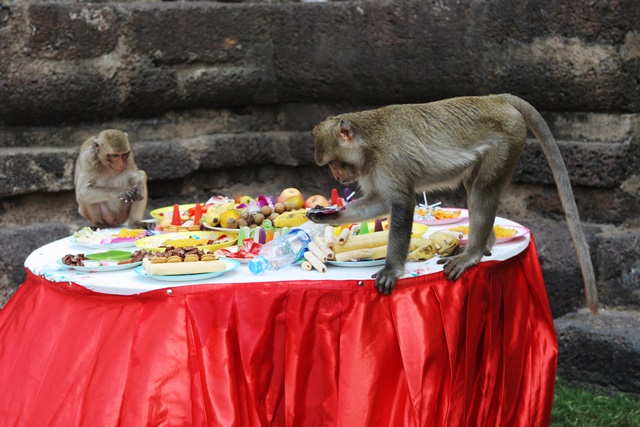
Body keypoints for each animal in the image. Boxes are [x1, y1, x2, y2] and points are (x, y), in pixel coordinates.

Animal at [310, 94, 600, 314]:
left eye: (334, 162)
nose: (337, 177)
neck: (369, 143)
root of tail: (495, 99)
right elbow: (379, 202)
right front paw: (327, 217)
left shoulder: (391, 160)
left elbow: (402, 203)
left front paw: (392, 270)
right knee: (475, 187)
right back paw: (485, 245)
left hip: (507, 141)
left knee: (482, 190)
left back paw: (471, 254)